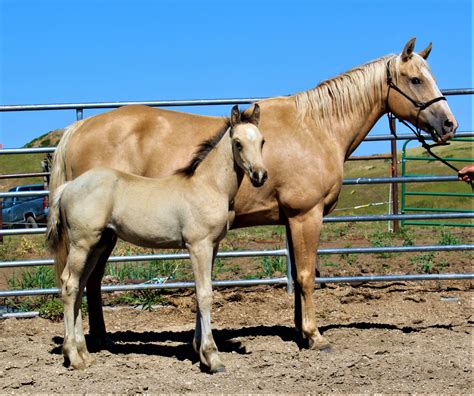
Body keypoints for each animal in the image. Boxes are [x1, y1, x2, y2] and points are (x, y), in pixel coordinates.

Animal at [47, 105, 266, 372]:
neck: (208, 185)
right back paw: (73, 356)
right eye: (238, 143)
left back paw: (84, 352)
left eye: (262, 141)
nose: (260, 176)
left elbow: (200, 291)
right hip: (82, 243)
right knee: (69, 284)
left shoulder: (212, 247)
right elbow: (205, 294)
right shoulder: (198, 246)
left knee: (80, 285)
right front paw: (212, 356)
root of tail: (68, 187)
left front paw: (199, 350)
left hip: (97, 244)